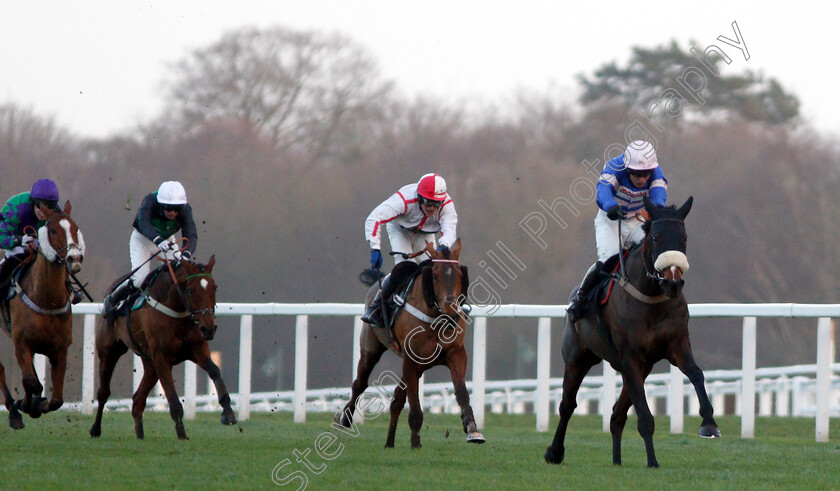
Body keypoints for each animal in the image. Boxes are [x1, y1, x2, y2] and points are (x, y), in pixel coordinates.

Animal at [0, 202, 84, 428]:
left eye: (75, 228)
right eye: (53, 230)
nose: (74, 258)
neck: (47, 298)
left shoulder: (60, 348)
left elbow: (56, 400)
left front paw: (40, 404)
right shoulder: (22, 343)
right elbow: (31, 382)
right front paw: (26, 404)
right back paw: (14, 412)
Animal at [88, 256, 236, 440]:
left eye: (214, 288)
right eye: (190, 290)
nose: (209, 329)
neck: (176, 311)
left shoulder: (198, 350)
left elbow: (215, 371)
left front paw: (228, 413)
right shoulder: (162, 358)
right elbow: (173, 399)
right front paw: (182, 435)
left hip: (149, 364)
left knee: (137, 400)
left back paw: (140, 435)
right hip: (109, 352)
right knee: (103, 392)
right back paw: (95, 428)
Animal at [336, 239, 486, 450]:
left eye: (459, 274)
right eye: (435, 274)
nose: (451, 312)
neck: (436, 318)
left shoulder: (455, 353)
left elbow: (462, 392)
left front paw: (473, 429)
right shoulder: (410, 359)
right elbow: (414, 403)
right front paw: (415, 441)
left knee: (397, 399)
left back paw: (389, 442)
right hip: (370, 348)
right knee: (360, 383)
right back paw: (346, 418)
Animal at [544, 198, 720, 470]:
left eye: (684, 238)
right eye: (656, 237)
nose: (673, 282)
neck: (651, 297)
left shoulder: (676, 346)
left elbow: (696, 374)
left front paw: (709, 424)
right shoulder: (630, 358)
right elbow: (645, 416)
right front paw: (653, 461)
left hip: (642, 367)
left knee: (616, 414)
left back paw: (616, 460)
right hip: (577, 358)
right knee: (567, 405)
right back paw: (555, 452)